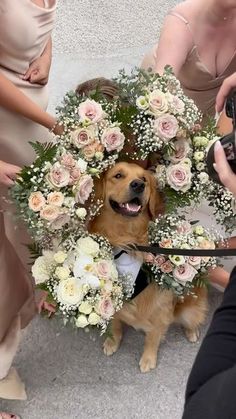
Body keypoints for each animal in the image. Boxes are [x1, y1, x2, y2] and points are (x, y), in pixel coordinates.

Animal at [89, 163, 207, 374]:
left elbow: (153, 335)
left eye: (144, 179)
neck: (128, 240)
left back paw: (192, 331)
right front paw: (113, 341)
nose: (138, 185)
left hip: (189, 307)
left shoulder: (160, 305)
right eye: (118, 175)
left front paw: (148, 358)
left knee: (193, 316)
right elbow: (115, 321)